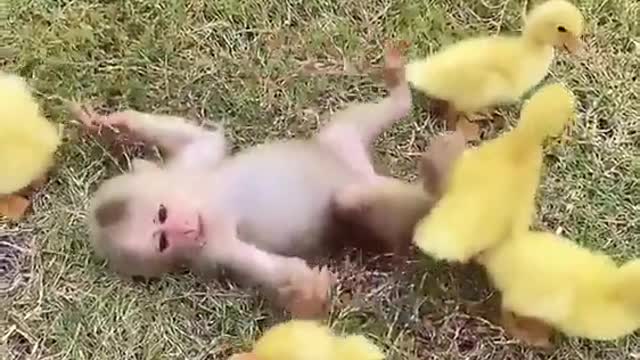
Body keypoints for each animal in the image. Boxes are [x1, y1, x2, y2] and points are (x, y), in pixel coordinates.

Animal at [74, 44, 460, 318]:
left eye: (162, 214)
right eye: (162, 242)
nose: (185, 228)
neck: (201, 204)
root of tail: (360, 169)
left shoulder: (190, 170)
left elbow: (206, 142)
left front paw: (117, 125)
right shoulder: (213, 247)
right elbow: (275, 269)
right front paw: (307, 293)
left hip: (339, 143)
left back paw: (399, 95)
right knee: (352, 203)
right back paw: (438, 185)